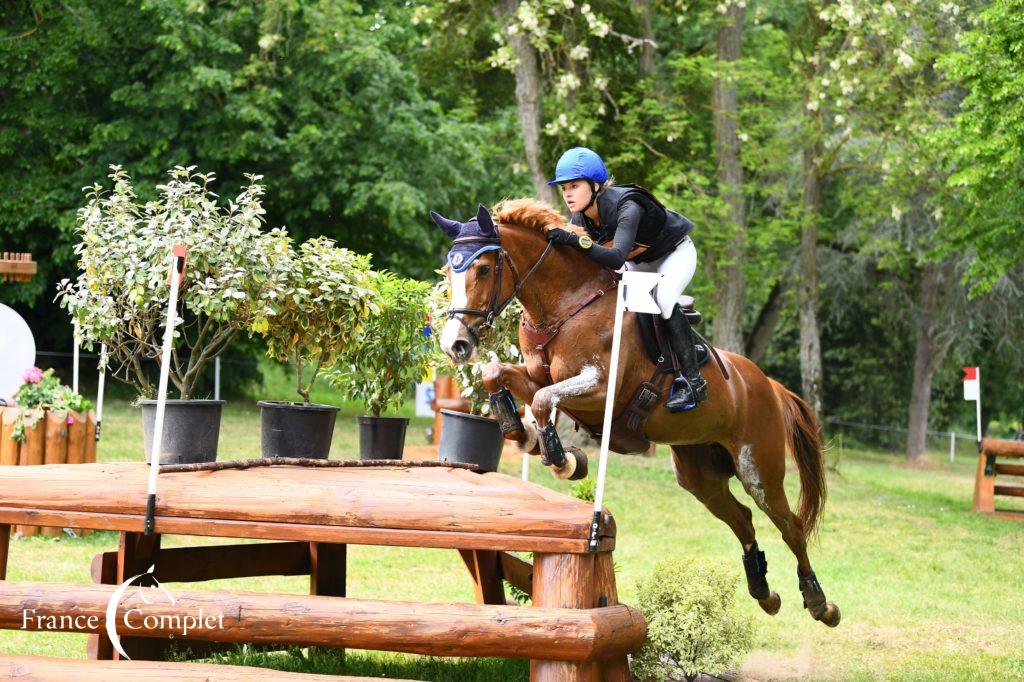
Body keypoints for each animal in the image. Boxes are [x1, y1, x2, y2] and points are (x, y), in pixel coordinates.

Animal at [432, 199, 839, 622]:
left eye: (482, 269)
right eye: (449, 269)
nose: (455, 345)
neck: (565, 305)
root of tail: (769, 385)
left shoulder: (600, 389)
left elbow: (544, 400)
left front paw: (563, 459)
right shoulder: (534, 375)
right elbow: (498, 374)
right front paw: (520, 433)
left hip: (758, 468)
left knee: (790, 525)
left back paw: (819, 602)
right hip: (700, 474)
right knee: (742, 518)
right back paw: (764, 592)